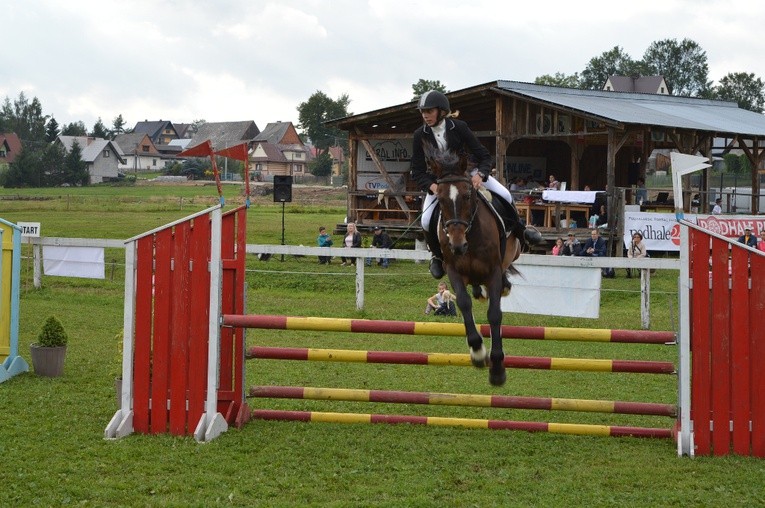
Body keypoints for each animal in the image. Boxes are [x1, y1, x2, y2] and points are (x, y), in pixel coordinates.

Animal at [426, 149, 524, 386]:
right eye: (440, 199)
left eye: (467, 196)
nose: (457, 245)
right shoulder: (454, 271)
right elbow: (463, 302)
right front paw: (478, 352)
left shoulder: (493, 271)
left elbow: (495, 314)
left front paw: (497, 368)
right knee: (475, 289)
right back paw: (479, 291)